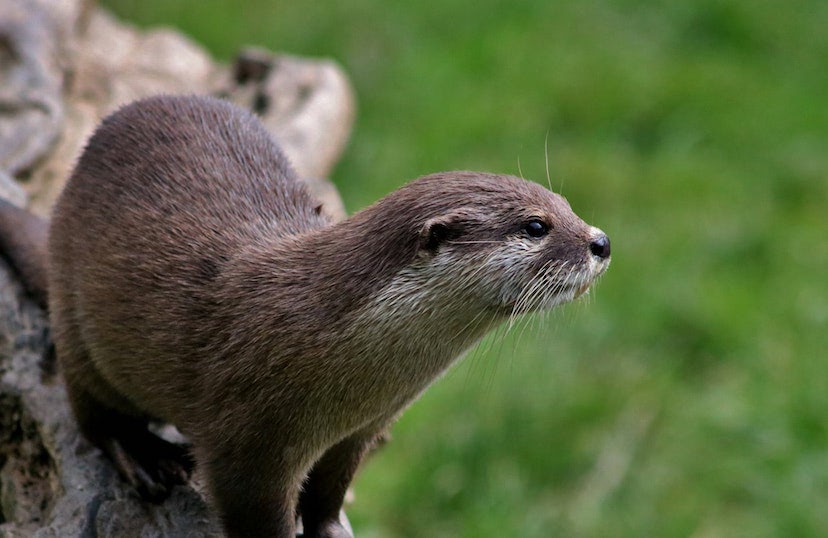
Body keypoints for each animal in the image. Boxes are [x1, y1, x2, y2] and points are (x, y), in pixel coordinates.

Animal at [0, 95, 610, 538]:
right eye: (536, 226)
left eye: (566, 205)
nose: (600, 241)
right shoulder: (247, 443)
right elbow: (254, 513)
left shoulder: (360, 431)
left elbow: (329, 494)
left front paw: (333, 531)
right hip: (79, 324)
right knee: (90, 413)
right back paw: (144, 457)